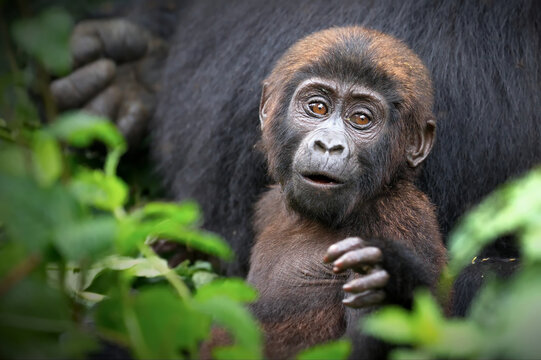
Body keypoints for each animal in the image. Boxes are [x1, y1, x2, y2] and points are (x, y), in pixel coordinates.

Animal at [247, 26, 446, 358]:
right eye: (318, 107)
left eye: (361, 119)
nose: (329, 145)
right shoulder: (269, 204)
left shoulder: (401, 220)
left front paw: (392, 282)